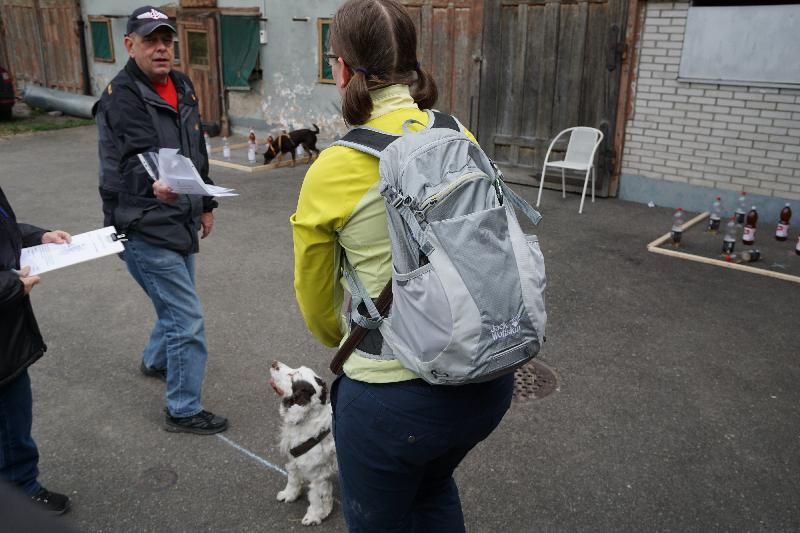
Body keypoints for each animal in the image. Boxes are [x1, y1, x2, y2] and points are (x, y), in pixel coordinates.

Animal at [269, 360, 336, 526]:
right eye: (295, 369)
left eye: (292, 376)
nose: (274, 363)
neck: (306, 420)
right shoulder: (294, 458)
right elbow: (293, 479)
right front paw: (289, 494)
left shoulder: (318, 474)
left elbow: (316, 497)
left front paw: (313, 516)